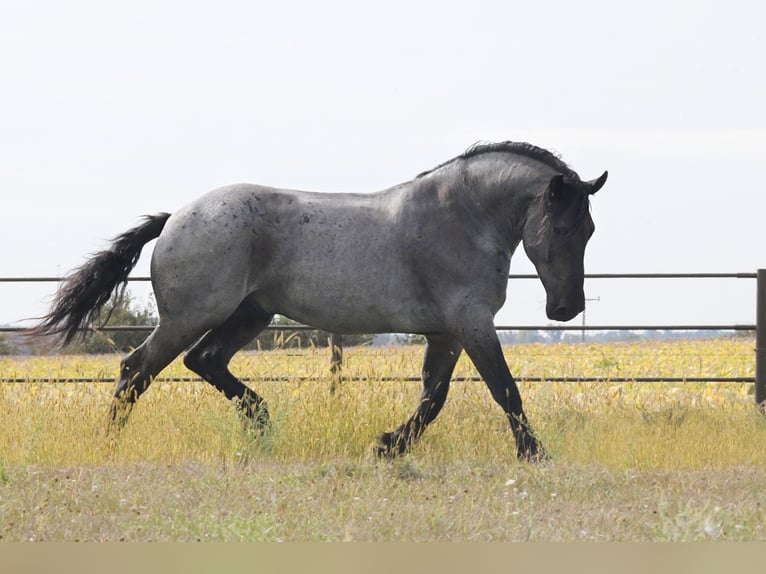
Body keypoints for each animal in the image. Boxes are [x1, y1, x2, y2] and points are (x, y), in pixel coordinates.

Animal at [30, 143, 608, 464]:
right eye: (561, 227)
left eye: (590, 230)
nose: (565, 310)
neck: (461, 216)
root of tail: (176, 218)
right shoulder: (471, 324)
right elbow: (504, 390)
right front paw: (536, 456)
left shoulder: (447, 332)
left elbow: (434, 397)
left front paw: (387, 445)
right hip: (191, 317)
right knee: (137, 369)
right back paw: (109, 445)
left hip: (250, 314)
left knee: (203, 361)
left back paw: (262, 423)